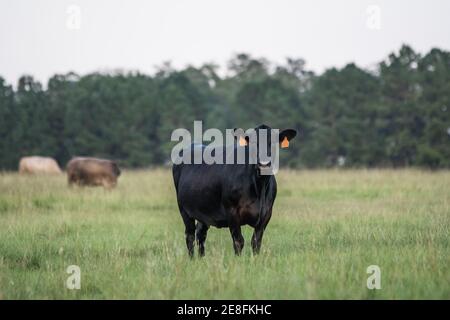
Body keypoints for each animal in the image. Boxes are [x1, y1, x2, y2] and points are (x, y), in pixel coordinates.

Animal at [171, 124, 296, 256]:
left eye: (273, 142)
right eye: (253, 143)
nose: (264, 164)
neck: (259, 187)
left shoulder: (266, 213)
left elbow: (256, 242)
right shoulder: (232, 212)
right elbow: (238, 241)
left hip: (204, 210)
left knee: (200, 234)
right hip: (184, 209)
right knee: (189, 235)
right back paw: (192, 258)